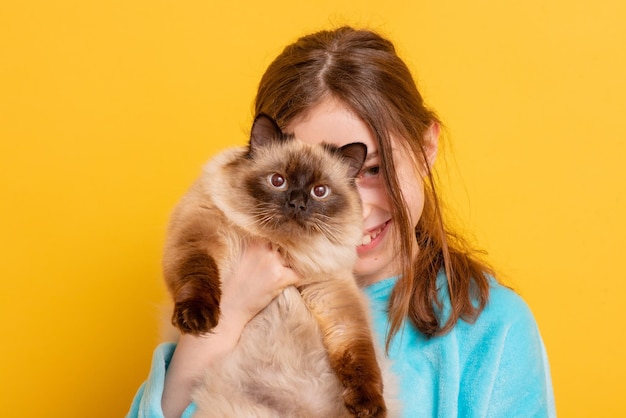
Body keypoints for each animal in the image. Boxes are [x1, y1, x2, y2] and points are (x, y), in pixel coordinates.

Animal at [162, 114, 394, 418]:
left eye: (320, 191)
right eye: (278, 181)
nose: (297, 204)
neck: (283, 247)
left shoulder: (331, 293)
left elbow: (358, 353)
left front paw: (368, 405)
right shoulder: (201, 233)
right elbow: (198, 273)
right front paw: (198, 319)